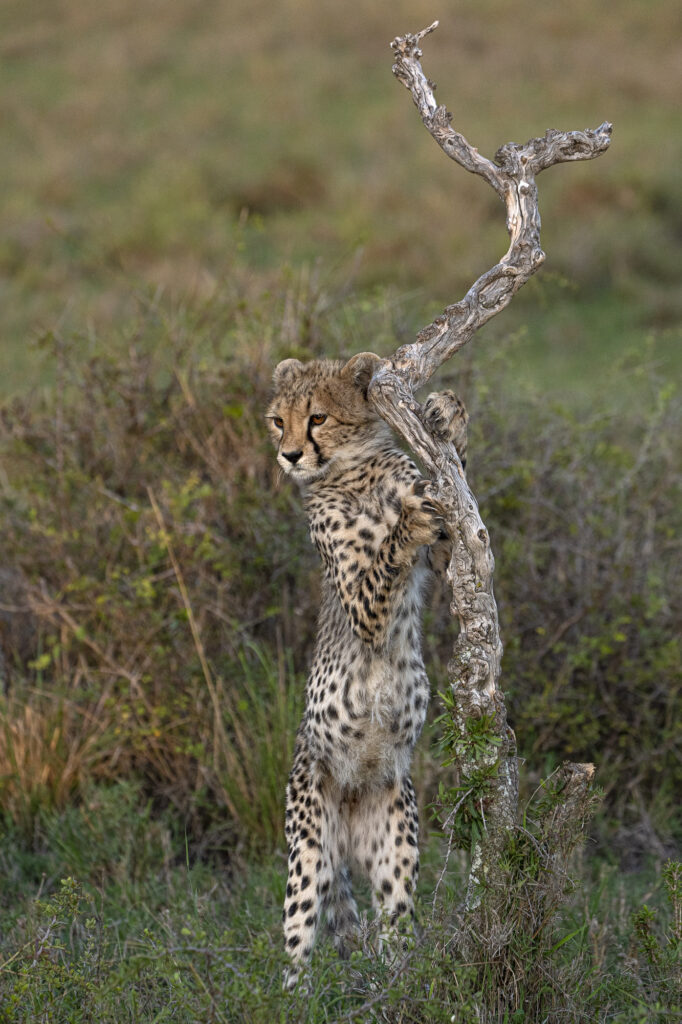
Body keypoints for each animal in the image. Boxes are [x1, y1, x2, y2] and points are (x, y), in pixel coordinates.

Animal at [266, 352, 468, 988]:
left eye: (318, 417)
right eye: (278, 421)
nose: (290, 456)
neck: (353, 472)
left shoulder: (448, 552)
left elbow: (452, 513)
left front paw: (447, 415)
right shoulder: (361, 603)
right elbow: (384, 561)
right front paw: (407, 523)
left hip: (395, 847)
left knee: (394, 928)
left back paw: (400, 989)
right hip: (309, 845)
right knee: (298, 939)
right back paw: (295, 996)